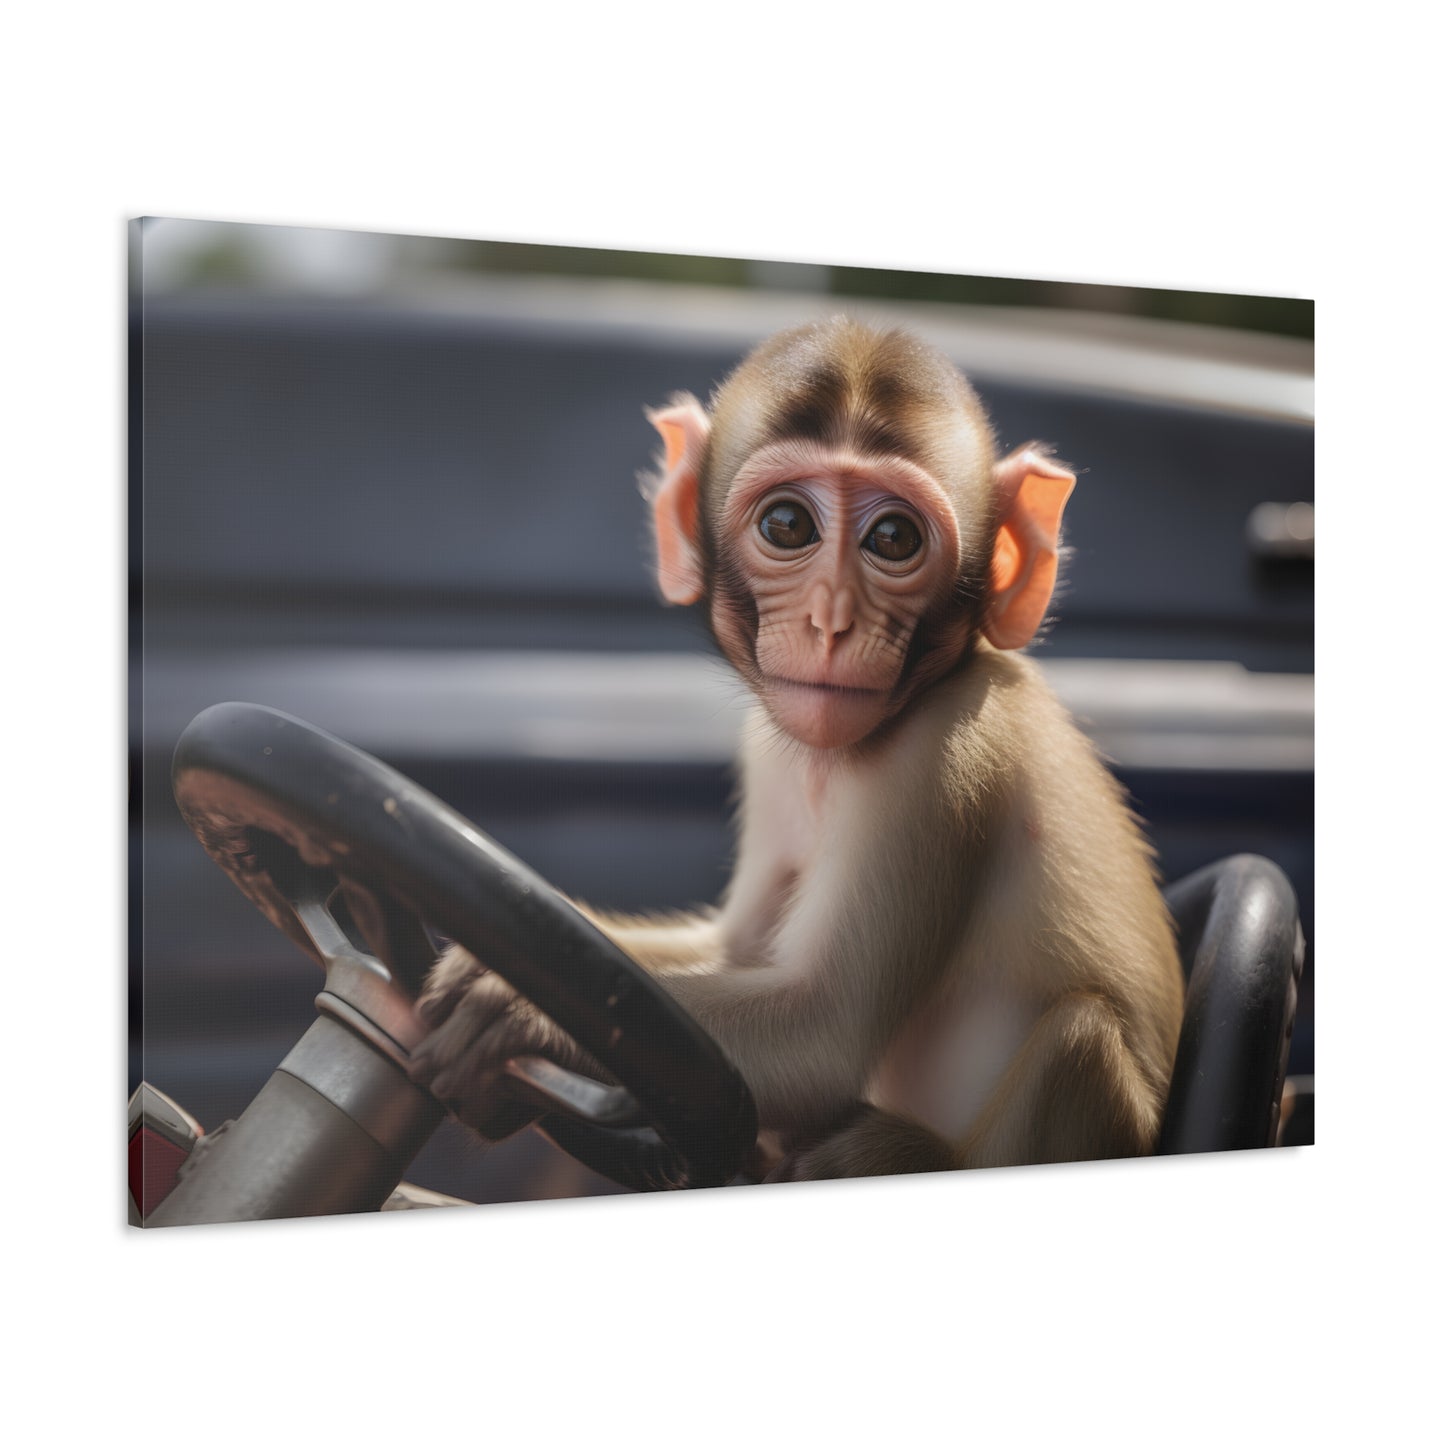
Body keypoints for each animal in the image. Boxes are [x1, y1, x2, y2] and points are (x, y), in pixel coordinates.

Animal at [407, 315, 1185, 1182]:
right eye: (787, 526)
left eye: (893, 538)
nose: (831, 616)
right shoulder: (772, 750)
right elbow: (732, 946)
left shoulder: (946, 759)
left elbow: (822, 1031)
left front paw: (516, 1007)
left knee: (1080, 1032)